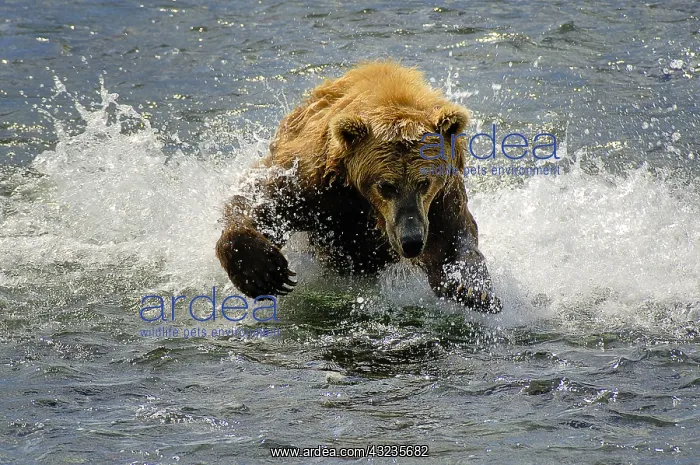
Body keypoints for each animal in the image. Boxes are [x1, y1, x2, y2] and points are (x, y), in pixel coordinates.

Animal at [215, 60, 501, 313]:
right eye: (386, 185)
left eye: (424, 182)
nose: (411, 241)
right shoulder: (314, 184)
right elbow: (262, 200)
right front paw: (263, 271)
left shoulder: (440, 197)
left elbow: (451, 237)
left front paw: (473, 289)